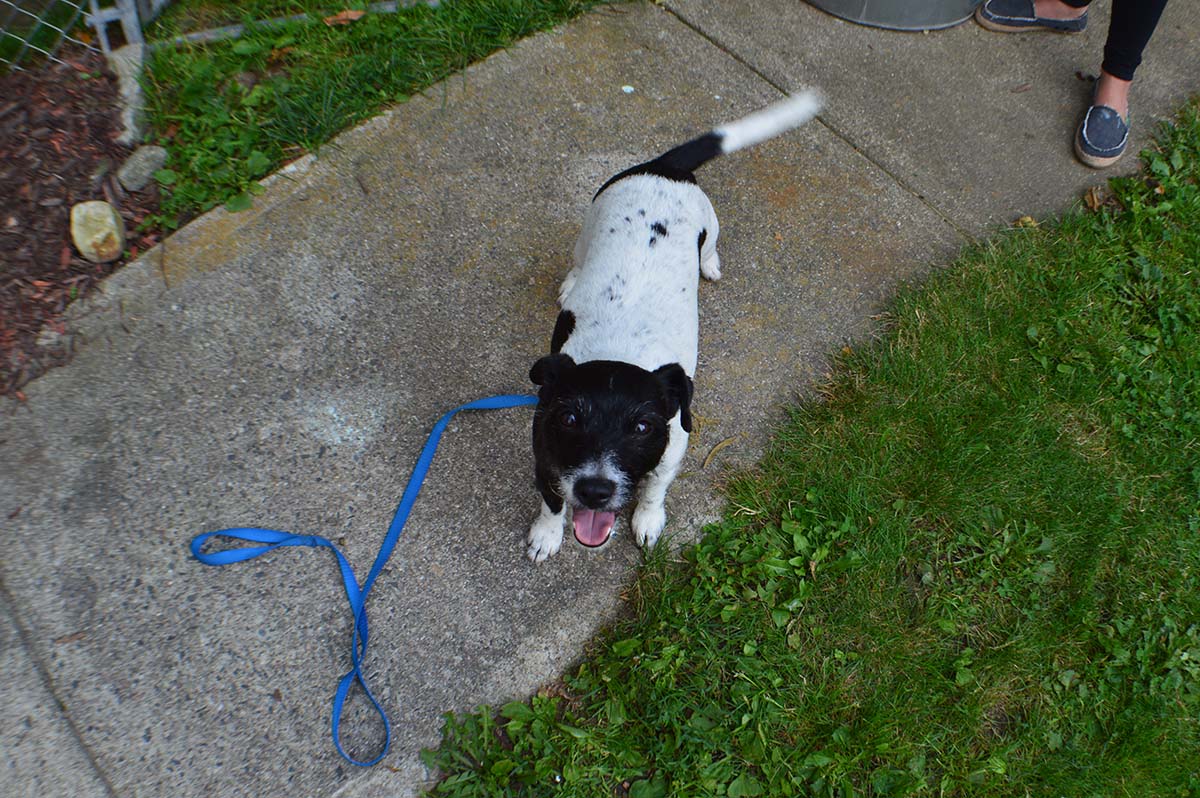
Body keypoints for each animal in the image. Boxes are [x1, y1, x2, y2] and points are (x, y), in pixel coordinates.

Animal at [528, 91, 825, 559]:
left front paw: (648, 520)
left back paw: (710, 265)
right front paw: (546, 534)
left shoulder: (672, 450)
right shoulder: (546, 458)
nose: (595, 490)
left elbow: (654, 491)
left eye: (643, 426)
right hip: (589, 226)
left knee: (710, 245)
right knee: (577, 259)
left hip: (710, 223)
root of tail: (664, 166)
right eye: (570, 419)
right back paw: (573, 281)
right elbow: (552, 502)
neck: (619, 348)